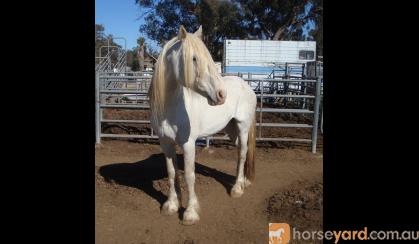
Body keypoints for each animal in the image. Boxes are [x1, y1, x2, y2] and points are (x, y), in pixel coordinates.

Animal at [149, 25, 258, 225]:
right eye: (194, 58)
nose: (222, 95)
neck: (171, 107)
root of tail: (246, 85)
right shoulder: (166, 143)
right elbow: (171, 172)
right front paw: (171, 205)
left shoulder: (188, 144)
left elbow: (189, 175)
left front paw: (190, 213)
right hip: (231, 129)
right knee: (241, 150)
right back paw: (243, 181)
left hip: (243, 127)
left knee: (243, 153)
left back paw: (237, 188)